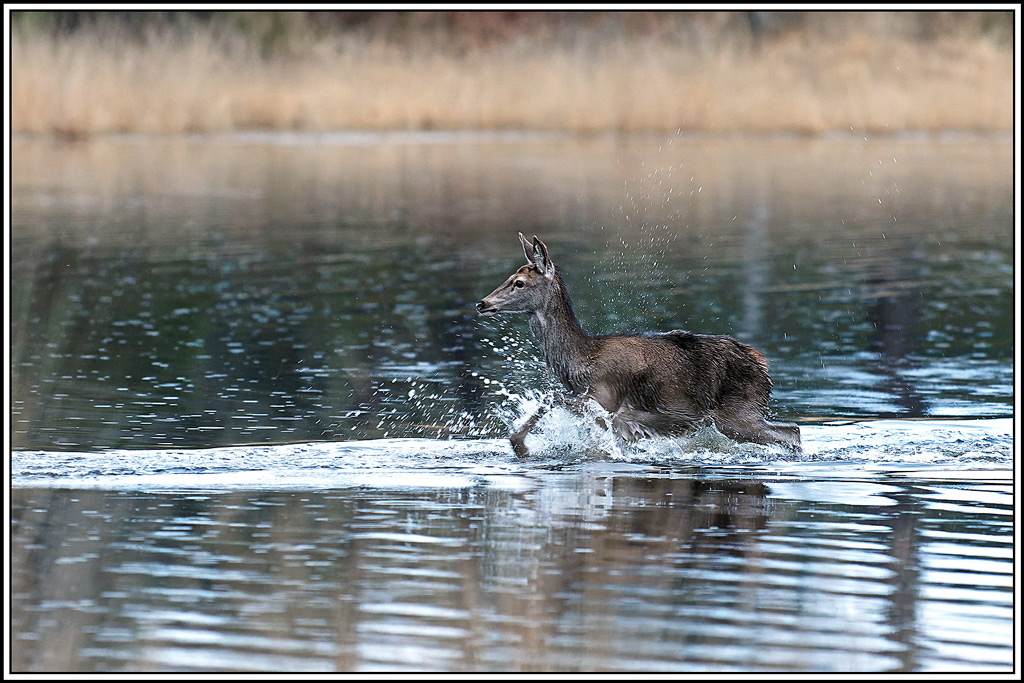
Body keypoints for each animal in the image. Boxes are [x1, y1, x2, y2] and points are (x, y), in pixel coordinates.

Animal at [476, 233, 802, 457]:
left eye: (519, 282)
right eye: (510, 277)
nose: (482, 303)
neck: (579, 360)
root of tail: (763, 367)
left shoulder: (606, 399)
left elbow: (553, 399)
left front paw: (521, 445)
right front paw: (520, 444)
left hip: (738, 413)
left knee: (793, 432)